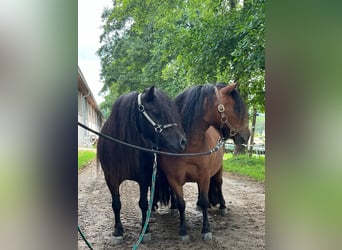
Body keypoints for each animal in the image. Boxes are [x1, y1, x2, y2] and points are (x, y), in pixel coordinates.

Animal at [96, 86, 187, 244]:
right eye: (157, 111)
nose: (182, 141)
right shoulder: (111, 179)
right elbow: (116, 204)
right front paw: (118, 231)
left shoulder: (143, 178)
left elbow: (143, 203)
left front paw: (145, 230)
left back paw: (173, 207)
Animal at [158, 83, 248, 241]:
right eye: (236, 109)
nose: (247, 136)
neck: (188, 147)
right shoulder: (173, 178)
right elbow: (181, 204)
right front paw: (183, 231)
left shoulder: (204, 175)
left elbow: (206, 202)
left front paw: (206, 230)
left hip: (218, 170)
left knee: (218, 183)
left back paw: (222, 206)